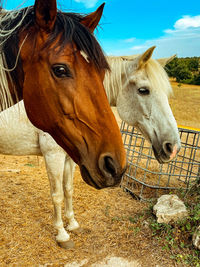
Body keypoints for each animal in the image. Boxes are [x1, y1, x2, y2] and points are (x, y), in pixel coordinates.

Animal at [0, 46, 181, 249]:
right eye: (144, 90)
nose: (173, 147)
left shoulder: (70, 157)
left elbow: (69, 189)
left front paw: (72, 224)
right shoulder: (53, 155)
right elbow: (57, 195)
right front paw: (62, 234)